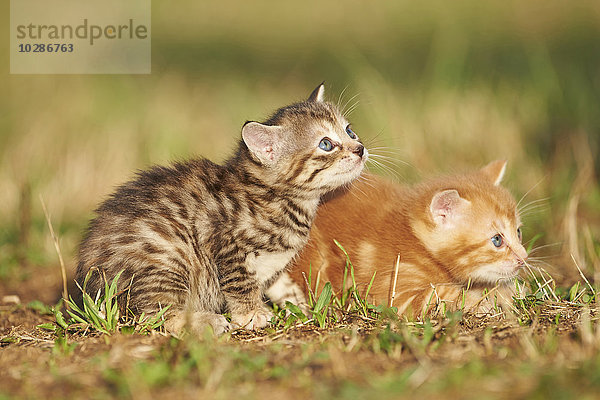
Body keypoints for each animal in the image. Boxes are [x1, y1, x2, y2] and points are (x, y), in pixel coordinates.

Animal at [75, 84, 366, 334]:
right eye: (326, 144)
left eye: (349, 131)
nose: (360, 148)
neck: (278, 198)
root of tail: (89, 286)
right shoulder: (226, 246)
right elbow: (240, 283)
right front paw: (251, 314)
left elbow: (278, 283)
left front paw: (299, 303)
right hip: (167, 260)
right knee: (154, 314)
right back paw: (205, 321)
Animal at [272, 161, 528, 318]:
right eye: (497, 240)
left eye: (518, 232)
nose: (523, 258)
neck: (415, 239)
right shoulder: (396, 292)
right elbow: (448, 296)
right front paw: (498, 297)